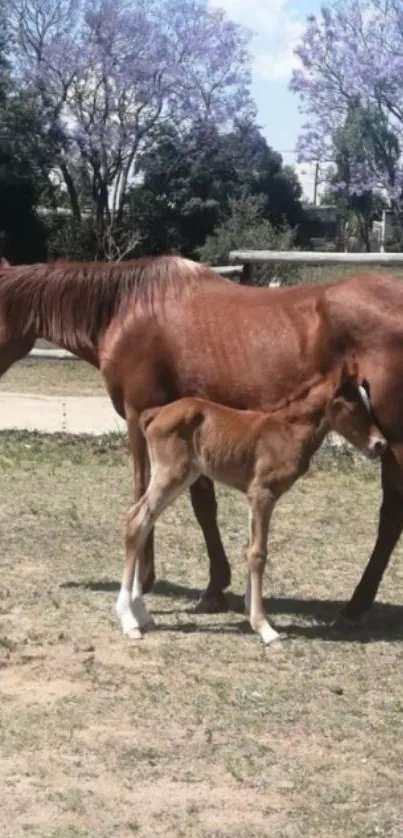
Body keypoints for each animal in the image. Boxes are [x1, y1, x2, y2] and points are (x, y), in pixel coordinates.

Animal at [118, 358, 386, 648]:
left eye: (369, 404)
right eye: (353, 406)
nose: (380, 444)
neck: (287, 431)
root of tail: (155, 413)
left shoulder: (253, 497)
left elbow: (250, 548)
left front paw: (251, 611)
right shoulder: (262, 493)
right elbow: (258, 554)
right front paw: (264, 628)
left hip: (180, 476)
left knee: (144, 521)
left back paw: (141, 614)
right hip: (171, 475)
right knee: (136, 520)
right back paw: (128, 620)